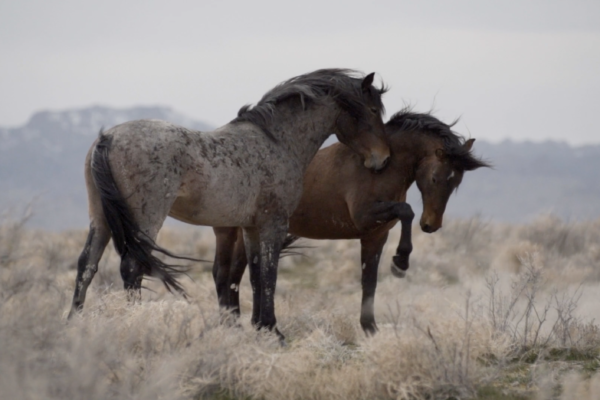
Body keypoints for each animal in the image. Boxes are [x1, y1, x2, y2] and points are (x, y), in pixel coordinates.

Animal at [70, 69, 392, 340]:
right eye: (373, 110)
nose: (383, 158)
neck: (277, 141)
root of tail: (108, 137)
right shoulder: (274, 224)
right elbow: (269, 273)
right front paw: (274, 331)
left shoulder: (250, 227)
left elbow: (255, 274)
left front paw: (261, 326)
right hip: (146, 219)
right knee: (132, 267)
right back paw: (133, 324)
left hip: (100, 219)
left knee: (87, 265)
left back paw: (74, 323)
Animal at [211, 108, 488, 334]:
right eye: (434, 178)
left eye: (456, 182)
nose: (431, 225)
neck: (382, 167)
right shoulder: (365, 216)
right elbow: (406, 211)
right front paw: (401, 261)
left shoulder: (375, 235)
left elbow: (369, 281)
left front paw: (370, 328)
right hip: (228, 230)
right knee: (223, 273)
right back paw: (230, 326)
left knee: (238, 273)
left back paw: (243, 323)